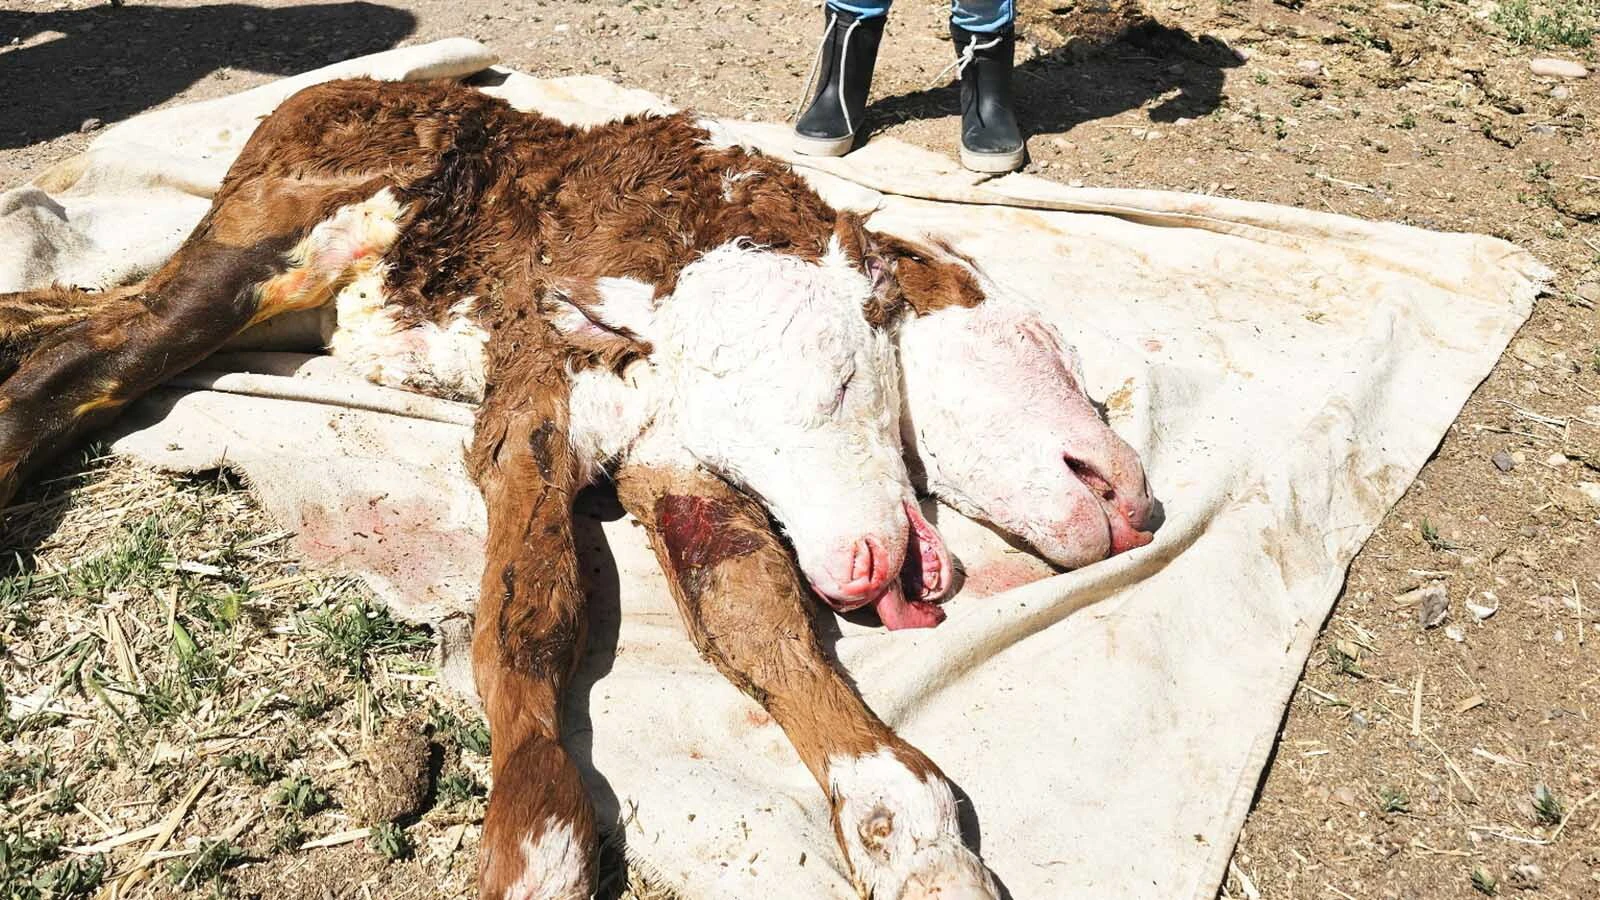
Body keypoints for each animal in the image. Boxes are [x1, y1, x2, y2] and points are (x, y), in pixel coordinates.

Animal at [0, 78, 1153, 898]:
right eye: (1040, 339)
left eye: (844, 374)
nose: (1133, 495)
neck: (681, 235)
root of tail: (327, 90)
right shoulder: (530, 415)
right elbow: (526, 625)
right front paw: (539, 850)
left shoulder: (671, 453)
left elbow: (756, 615)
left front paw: (911, 838)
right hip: (268, 236)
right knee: (95, 356)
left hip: (286, 299)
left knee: (89, 315)